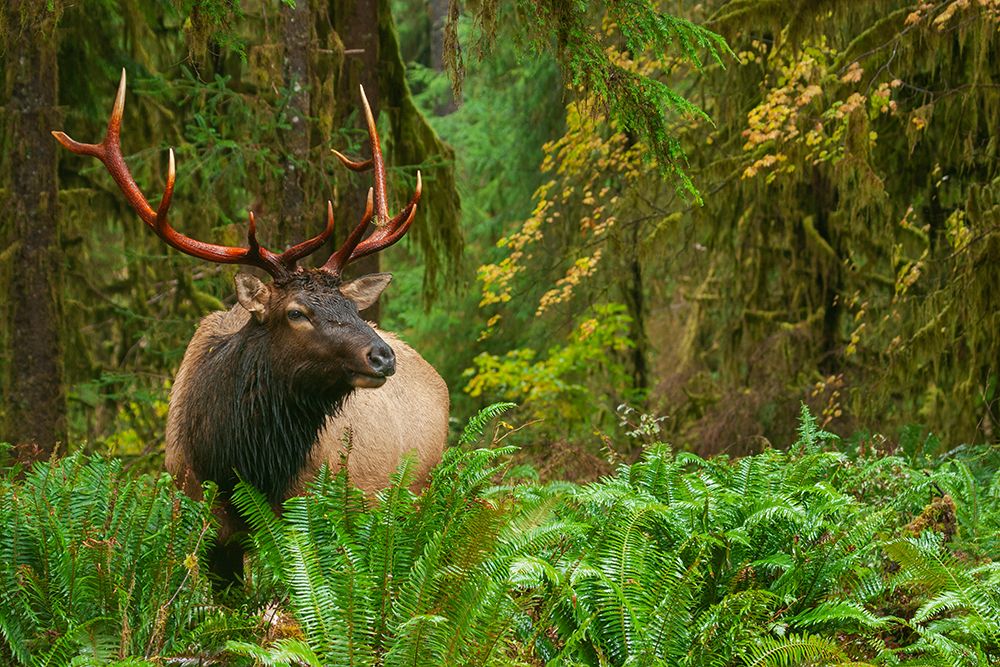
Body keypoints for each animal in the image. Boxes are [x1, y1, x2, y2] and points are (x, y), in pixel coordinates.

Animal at [53, 71, 449, 580]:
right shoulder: (202, 518)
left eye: (353, 307)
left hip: (409, 497)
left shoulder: (308, 515)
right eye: (296, 312)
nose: (382, 355)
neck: (238, 462)